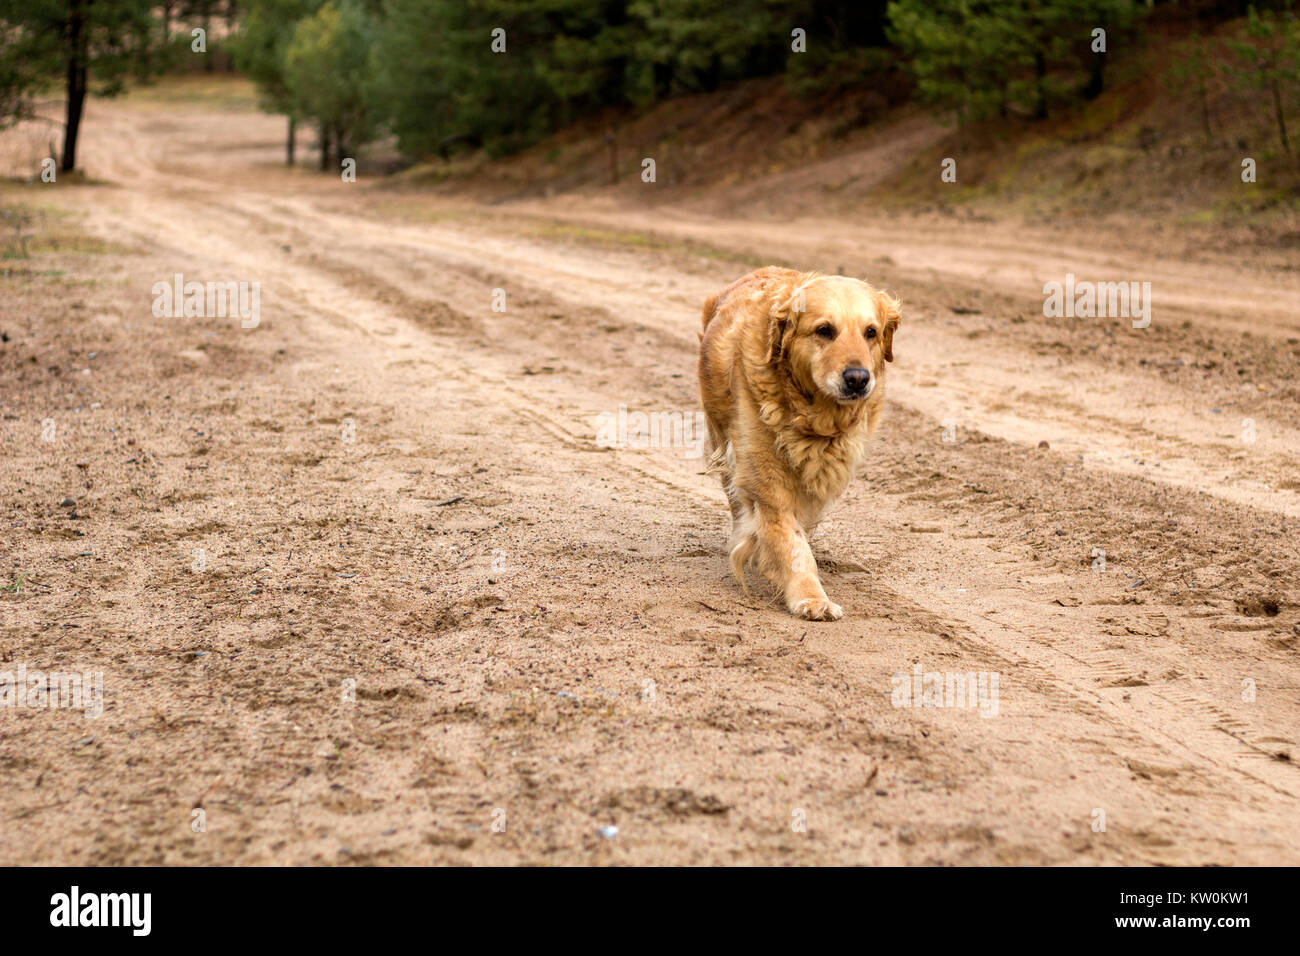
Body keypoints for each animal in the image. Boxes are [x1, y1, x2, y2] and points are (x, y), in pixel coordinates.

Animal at [696, 269, 899, 621]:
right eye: (824, 330)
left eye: (871, 332)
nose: (858, 379)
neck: (814, 413)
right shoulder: (764, 477)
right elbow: (791, 543)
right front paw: (810, 597)